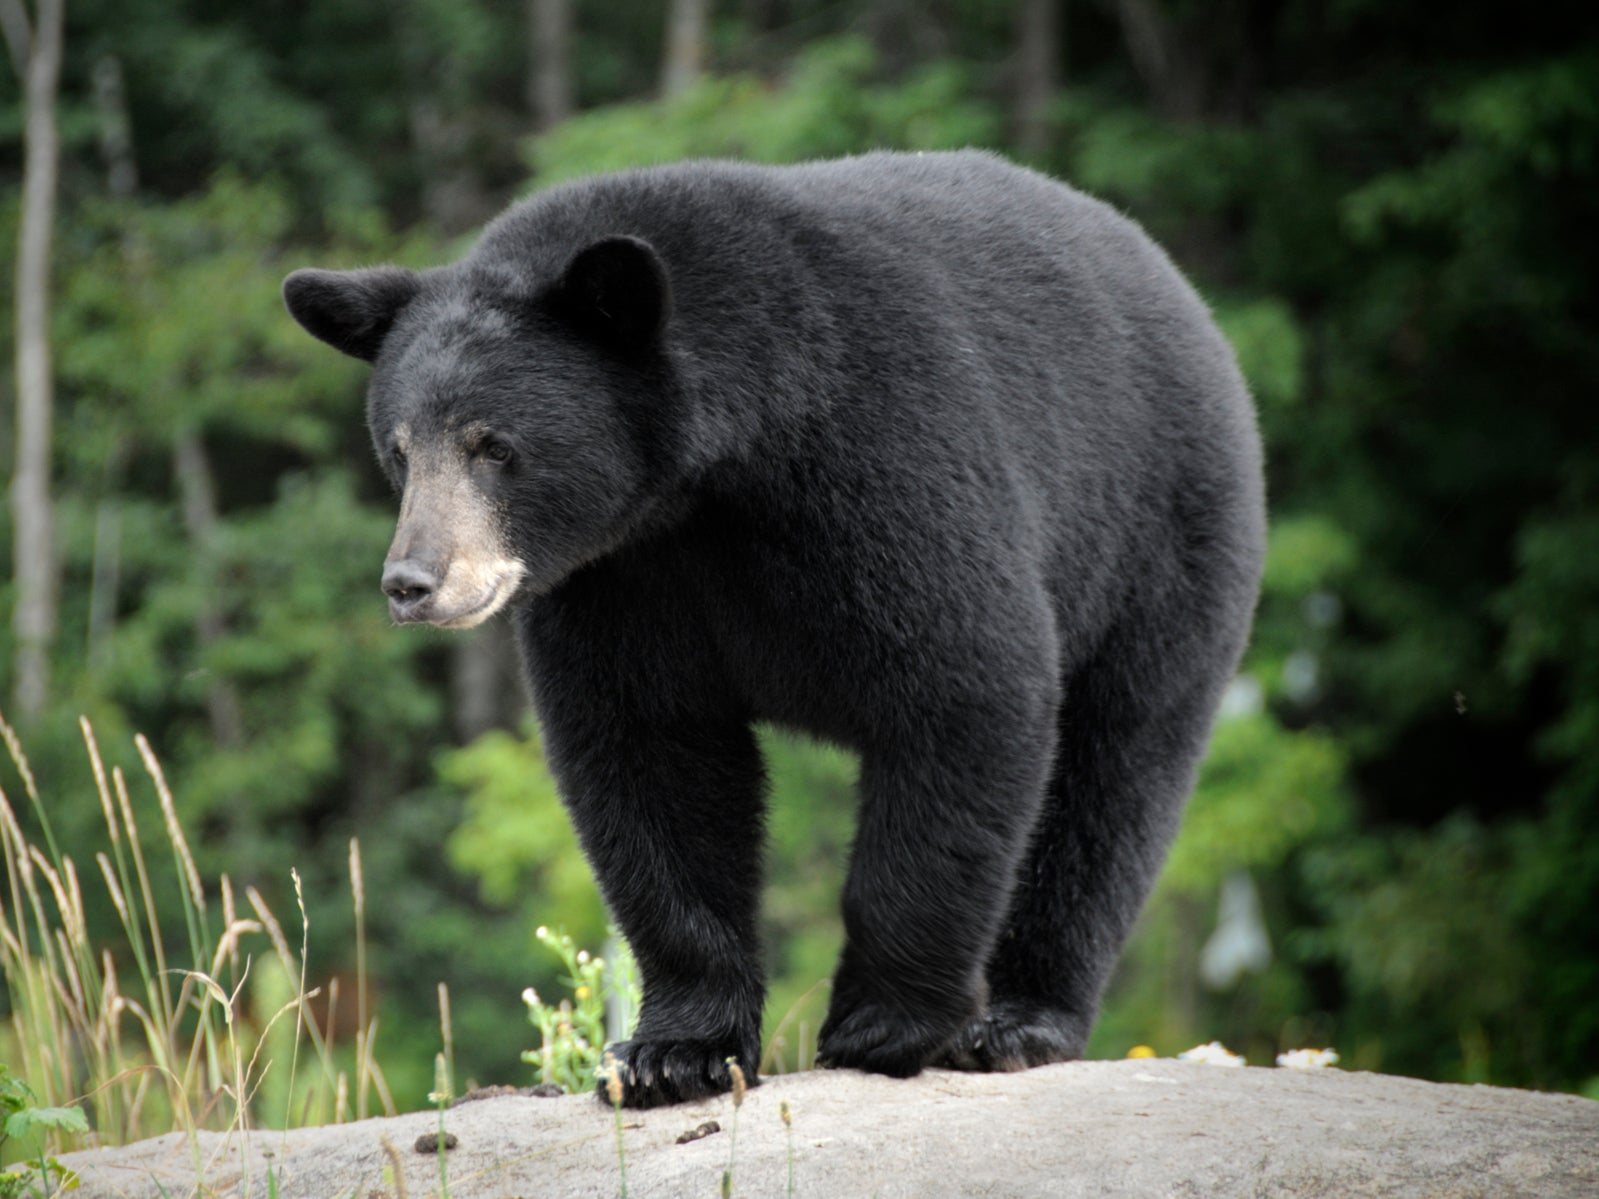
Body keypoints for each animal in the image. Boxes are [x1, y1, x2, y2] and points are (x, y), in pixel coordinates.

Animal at [282, 150, 1266, 1109]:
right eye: (400, 449)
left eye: (494, 445)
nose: (412, 582)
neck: (714, 476)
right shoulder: (622, 578)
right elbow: (649, 754)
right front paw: (673, 1052)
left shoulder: (887, 456)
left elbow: (965, 686)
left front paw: (883, 1025)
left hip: (1160, 539)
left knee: (1113, 778)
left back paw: (1022, 1021)